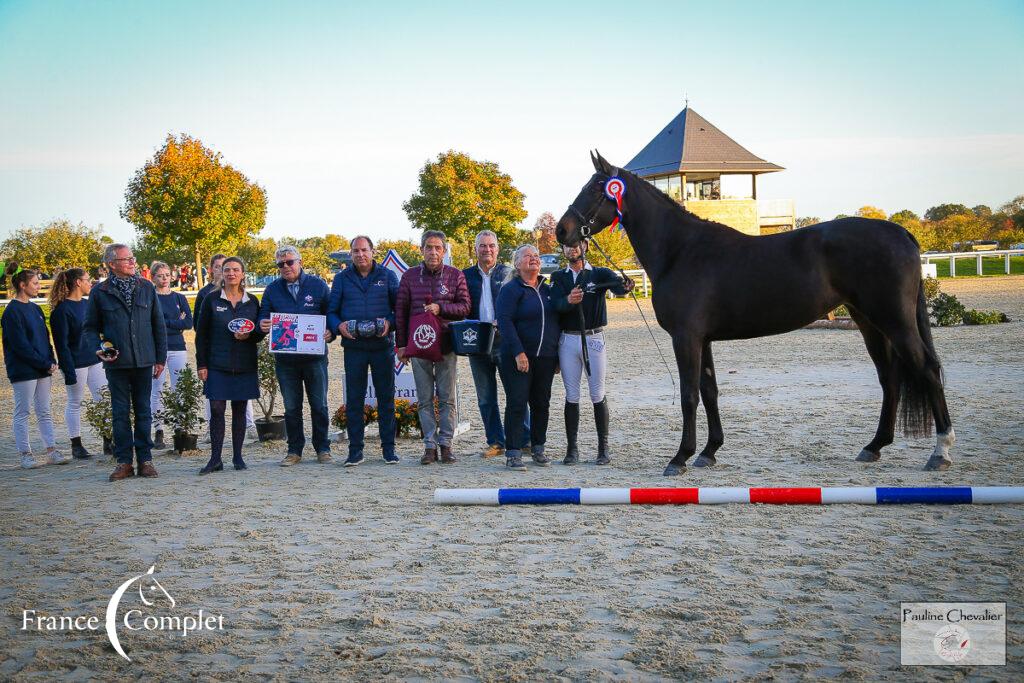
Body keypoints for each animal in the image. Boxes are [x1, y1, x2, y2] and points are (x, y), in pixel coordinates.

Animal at [557, 152, 954, 479]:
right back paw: (874, 447)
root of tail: (900, 232)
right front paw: (709, 452)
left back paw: (941, 451)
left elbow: (689, 395)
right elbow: (710, 390)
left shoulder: (686, 338)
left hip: (895, 322)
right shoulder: (703, 339)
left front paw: (680, 458)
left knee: (927, 370)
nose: (562, 230)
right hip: (869, 323)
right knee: (890, 379)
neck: (680, 250)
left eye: (595, 189)